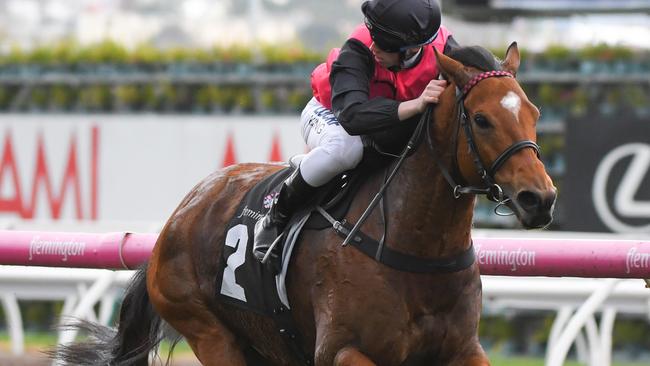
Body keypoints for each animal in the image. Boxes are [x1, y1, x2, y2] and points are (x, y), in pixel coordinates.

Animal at [53, 43, 556, 366]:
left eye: (534, 112)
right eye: (482, 119)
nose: (541, 199)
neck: (416, 244)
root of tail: (177, 218)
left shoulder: (463, 349)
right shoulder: (342, 349)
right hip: (208, 330)